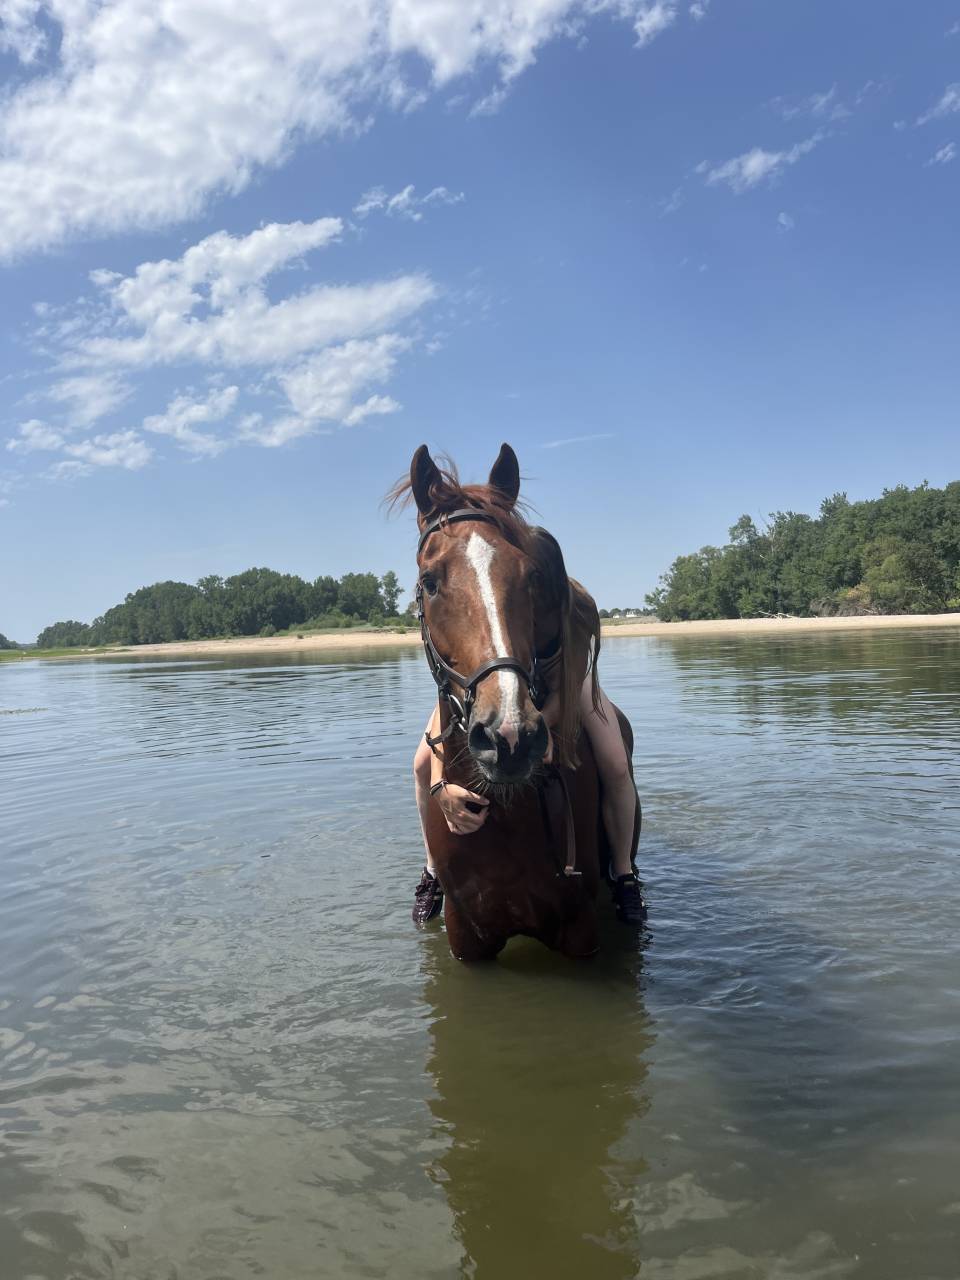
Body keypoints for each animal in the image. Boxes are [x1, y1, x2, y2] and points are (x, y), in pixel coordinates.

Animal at [400, 442, 640, 962]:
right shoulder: (466, 936)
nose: (508, 737)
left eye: (531, 577)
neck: (507, 814)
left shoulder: (580, 933)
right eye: (429, 581)